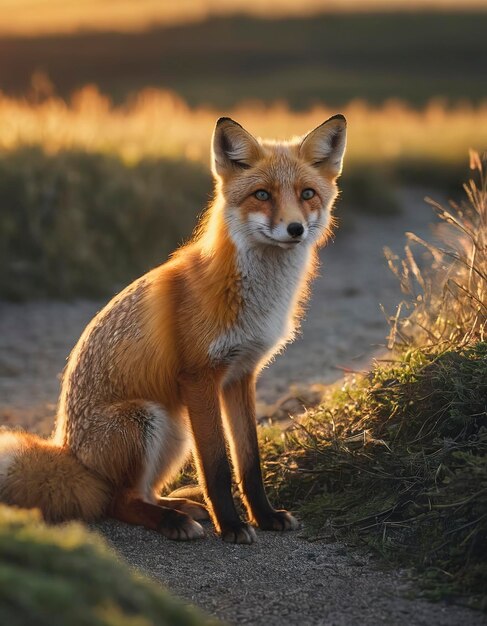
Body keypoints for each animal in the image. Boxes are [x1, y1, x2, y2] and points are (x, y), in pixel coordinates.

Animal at [0, 116, 346, 540]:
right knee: (118, 502)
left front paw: (264, 517)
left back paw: (182, 506)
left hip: (175, 431)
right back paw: (173, 520)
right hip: (146, 419)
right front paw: (231, 526)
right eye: (262, 194)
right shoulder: (199, 377)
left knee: (142, 493)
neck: (254, 300)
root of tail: (71, 453)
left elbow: (249, 462)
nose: (295, 229)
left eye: (307, 193)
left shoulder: (241, 374)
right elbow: (217, 466)